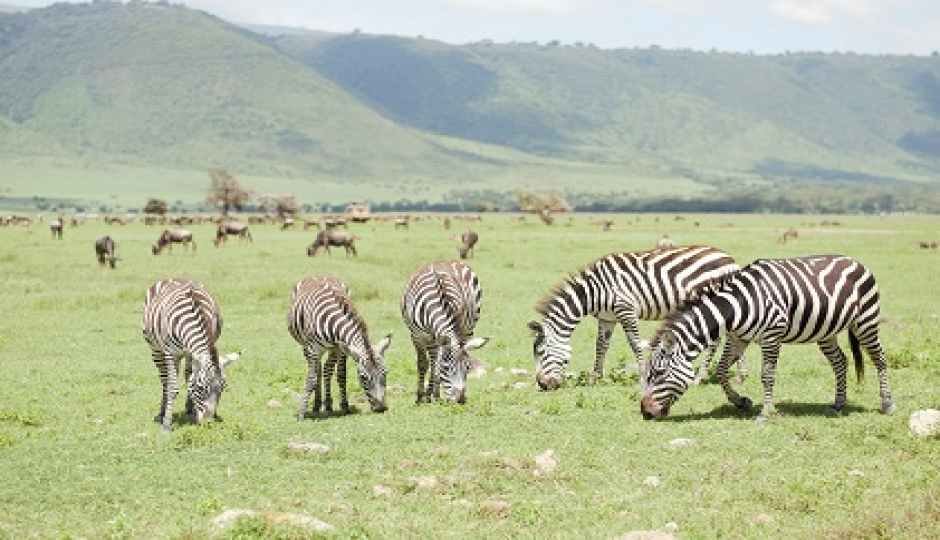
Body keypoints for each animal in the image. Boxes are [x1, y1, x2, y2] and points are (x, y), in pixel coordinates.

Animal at [142, 278, 241, 430]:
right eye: (200, 388)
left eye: (223, 388)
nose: (208, 423)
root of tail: (174, 277)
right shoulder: (171, 353)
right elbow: (172, 387)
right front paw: (166, 425)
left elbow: (189, 379)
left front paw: (197, 412)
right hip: (156, 349)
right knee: (165, 379)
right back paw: (162, 412)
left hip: (188, 354)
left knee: (187, 374)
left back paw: (189, 409)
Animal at [286, 274, 390, 418]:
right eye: (363, 377)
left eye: (385, 373)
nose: (381, 408)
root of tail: (317, 274)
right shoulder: (313, 348)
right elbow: (311, 379)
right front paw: (302, 414)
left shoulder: (341, 348)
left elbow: (340, 375)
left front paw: (345, 407)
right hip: (306, 346)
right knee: (317, 370)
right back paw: (316, 405)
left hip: (331, 349)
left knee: (325, 369)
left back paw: (327, 405)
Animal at [402, 260, 488, 402]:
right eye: (446, 368)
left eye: (468, 368)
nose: (461, 400)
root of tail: (443, 260)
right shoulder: (416, 336)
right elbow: (423, 364)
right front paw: (420, 398)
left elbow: (436, 365)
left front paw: (431, 396)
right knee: (433, 361)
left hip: (469, 328)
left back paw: (434, 395)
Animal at [528, 247, 740, 390]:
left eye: (541, 352)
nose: (543, 385)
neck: (595, 292)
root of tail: (729, 258)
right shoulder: (607, 318)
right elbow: (601, 346)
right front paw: (594, 379)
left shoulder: (626, 310)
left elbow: (635, 344)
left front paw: (641, 377)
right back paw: (740, 376)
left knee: (718, 340)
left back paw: (702, 378)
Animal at [640, 255, 896, 420]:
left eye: (659, 373)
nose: (645, 413)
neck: (736, 307)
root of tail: (856, 261)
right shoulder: (738, 338)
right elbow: (721, 371)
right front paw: (741, 402)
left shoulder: (771, 336)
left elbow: (767, 375)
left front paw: (766, 412)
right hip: (827, 331)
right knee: (840, 362)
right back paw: (838, 405)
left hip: (865, 320)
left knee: (879, 360)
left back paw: (887, 404)